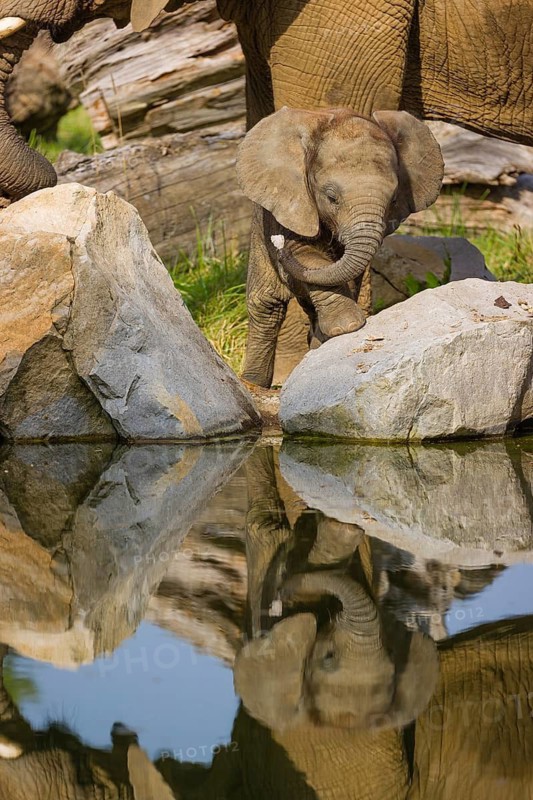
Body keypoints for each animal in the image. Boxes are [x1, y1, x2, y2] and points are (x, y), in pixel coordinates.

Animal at [236, 106, 443, 386]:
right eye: (331, 197)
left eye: (393, 199)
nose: (277, 245)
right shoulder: (291, 203)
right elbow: (303, 253)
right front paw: (347, 327)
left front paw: (334, 335)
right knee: (266, 307)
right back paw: (253, 383)